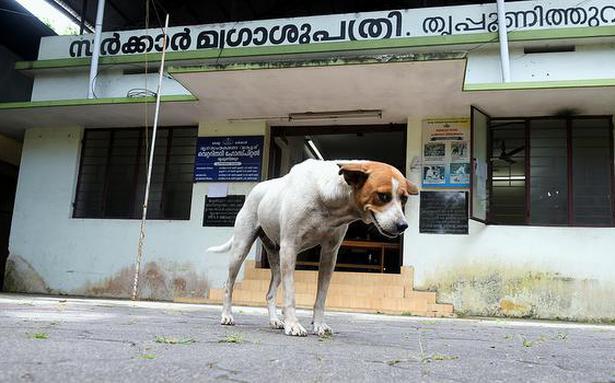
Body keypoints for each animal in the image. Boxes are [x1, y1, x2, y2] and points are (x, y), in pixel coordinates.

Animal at [207, 159, 418, 336]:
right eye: (383, 196)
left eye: (404, 199)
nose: (403, 226)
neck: (329, 201)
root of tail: (257, 189)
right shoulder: (290, 248)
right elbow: (290, 294)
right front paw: (293, 324)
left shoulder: (330, 254)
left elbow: (321, 297)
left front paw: (318, 324)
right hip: (242, 249)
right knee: (229, 285)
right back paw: (227, 316)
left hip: (277, 261)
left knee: (270, 293)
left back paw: (275, 320)